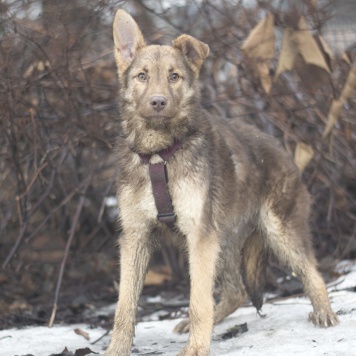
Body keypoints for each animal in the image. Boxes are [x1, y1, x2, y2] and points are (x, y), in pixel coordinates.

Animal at [106, 9, 340, 354]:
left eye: (174, 76)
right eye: (142, 76)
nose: (158, 102)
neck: (160, 155)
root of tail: (282, 149)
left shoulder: (199, 237)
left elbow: (198, 300)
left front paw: (196, 348)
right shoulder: (136, 238)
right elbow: (124, 305)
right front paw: (116, 349)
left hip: (277, 232)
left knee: (311, 270)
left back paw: (324, 312)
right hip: (224, 239)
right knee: (236, 291)